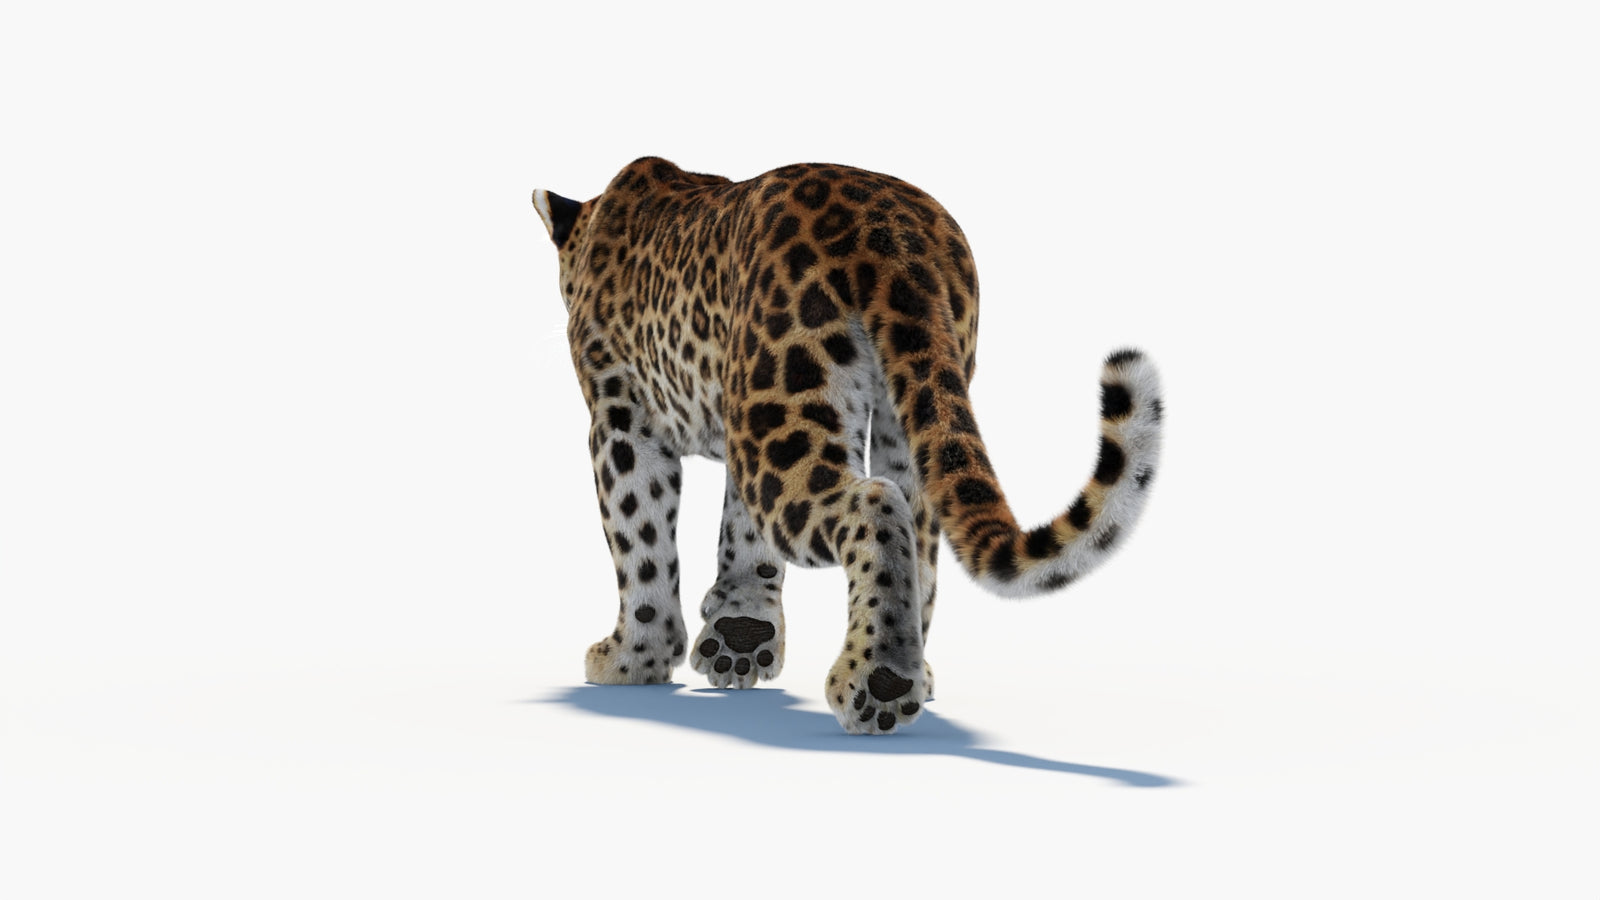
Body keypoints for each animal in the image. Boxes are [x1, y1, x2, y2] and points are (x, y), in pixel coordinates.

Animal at [532, 157, 1163, 734]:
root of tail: (893, 233)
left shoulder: (622, 416)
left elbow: (640, 542)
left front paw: (632, 659)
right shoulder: (737, 411)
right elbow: (744, 534)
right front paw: (740, 638)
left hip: (784, 403)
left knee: (873, 501)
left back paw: (878, 682)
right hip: (907, 407)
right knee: (917, 525)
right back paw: (913, 673)